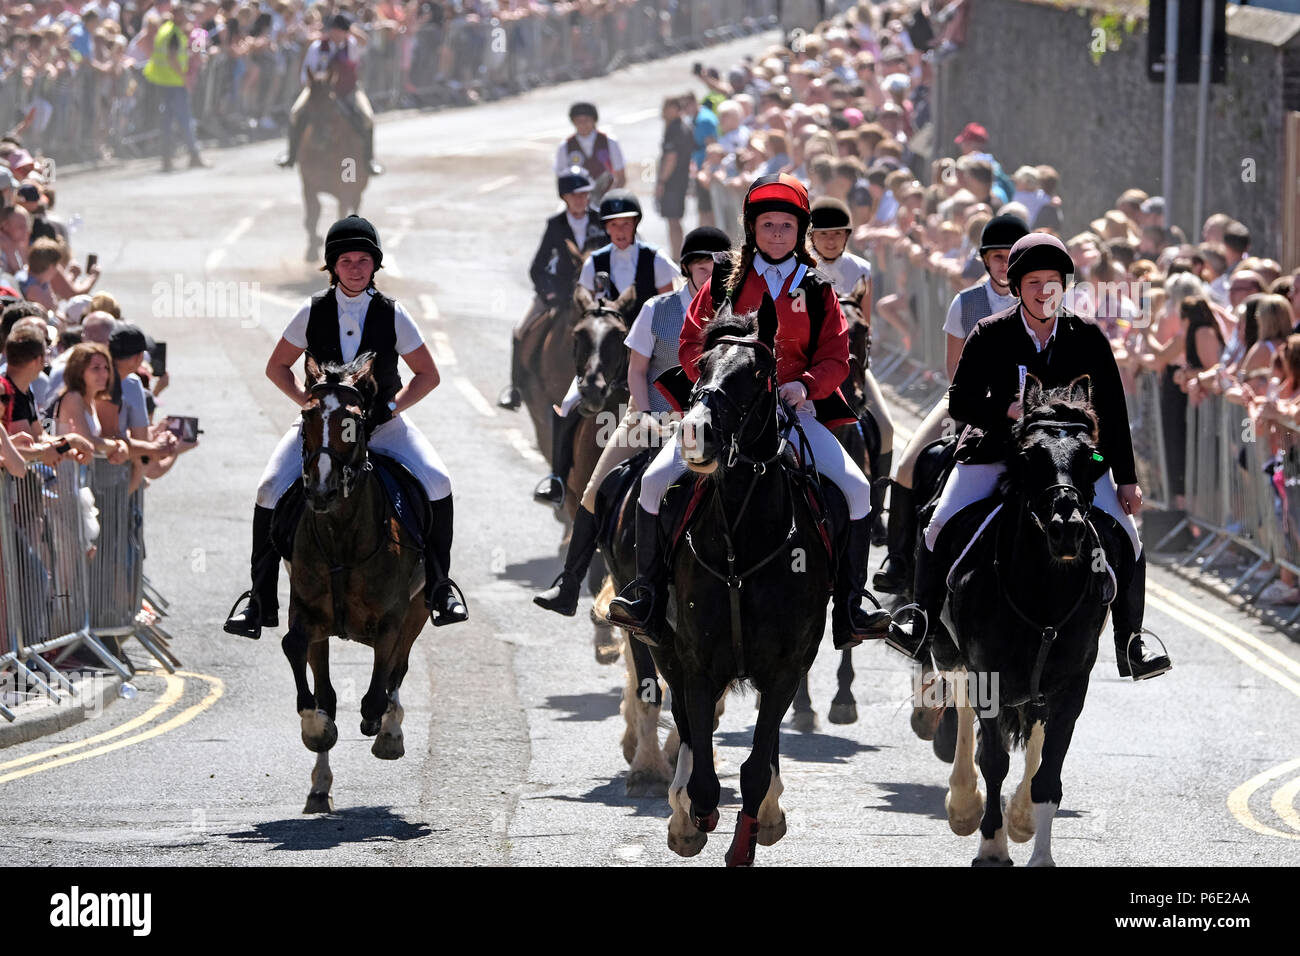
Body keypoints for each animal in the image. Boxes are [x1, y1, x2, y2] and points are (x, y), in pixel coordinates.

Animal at [279, 351, 426, 816]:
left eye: (355, 421)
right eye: (307, 415)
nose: (322, 490)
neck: (342, 533)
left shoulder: (395, 617)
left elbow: (382, 682)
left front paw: (383, 727)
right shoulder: (306, 614)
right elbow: (301, 661)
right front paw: (316, 730)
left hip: (419, 612)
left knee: (397, 672)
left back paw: (389, 732)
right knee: (328, 687)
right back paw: (319, 785)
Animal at [299, 71, 371, 261]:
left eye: (331, 103)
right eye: (309, 104)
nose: (319, 139)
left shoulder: (345, 190)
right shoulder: (308, 184)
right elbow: (313, 213)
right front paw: (312, 247)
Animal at [631, 293, 842, 868]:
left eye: (758, 373)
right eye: (702, 365)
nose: (694, 434)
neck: (741, 541)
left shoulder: (788, 667)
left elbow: (755, 765)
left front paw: (751, 832)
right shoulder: (698, 661)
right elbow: (704, 768)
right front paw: (695, 816)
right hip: (666, 650)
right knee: (686, 727)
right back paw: (682, 814)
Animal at [935, 379, 1118, 868]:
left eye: (1092, 457)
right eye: (1028, 456)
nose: (1066, 527)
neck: (1044, 595)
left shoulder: (1072, 685)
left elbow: (1048, 775)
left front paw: (1037, 849)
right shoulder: (989, 674)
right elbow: (993, 760)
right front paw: (991, 846)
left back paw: (1019, 816)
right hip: (951, 652)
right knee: (964, 712)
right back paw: (964, 804)